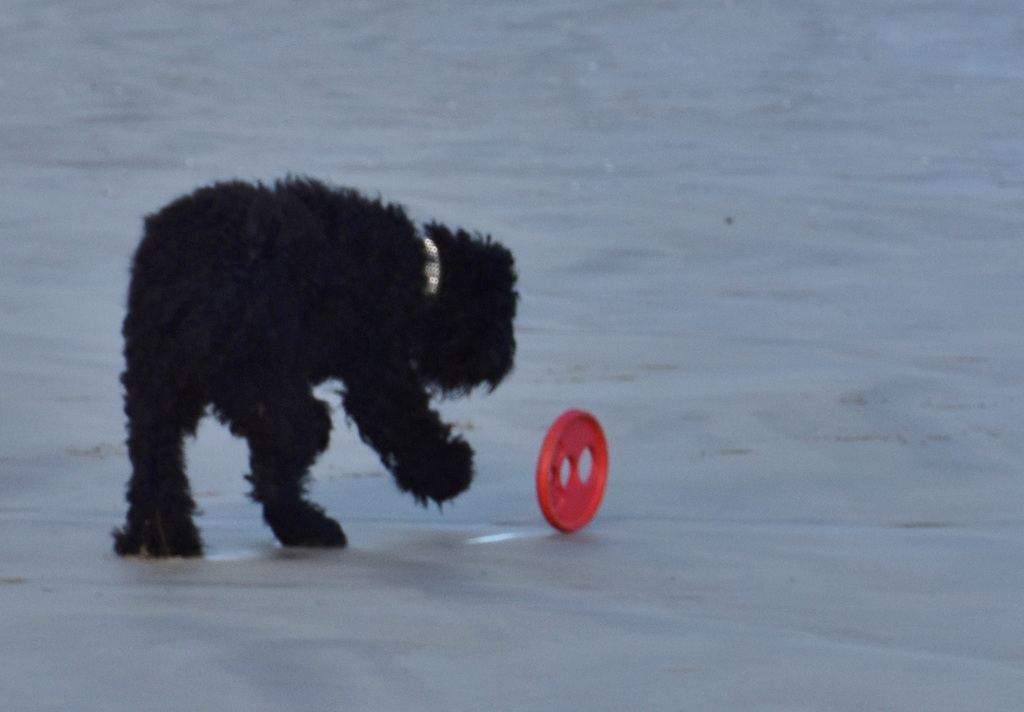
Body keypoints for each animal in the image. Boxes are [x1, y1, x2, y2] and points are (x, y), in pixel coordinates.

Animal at [115, 178, 516, 557]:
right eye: (498, 316)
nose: (506, 361)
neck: (419, 271)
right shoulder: (378, 371)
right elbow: (407, 425)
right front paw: (450, 472)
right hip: (277, 401)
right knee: (273, 477)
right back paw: (310, 529)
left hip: (156, 393)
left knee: (155, 467)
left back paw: (158, 538)